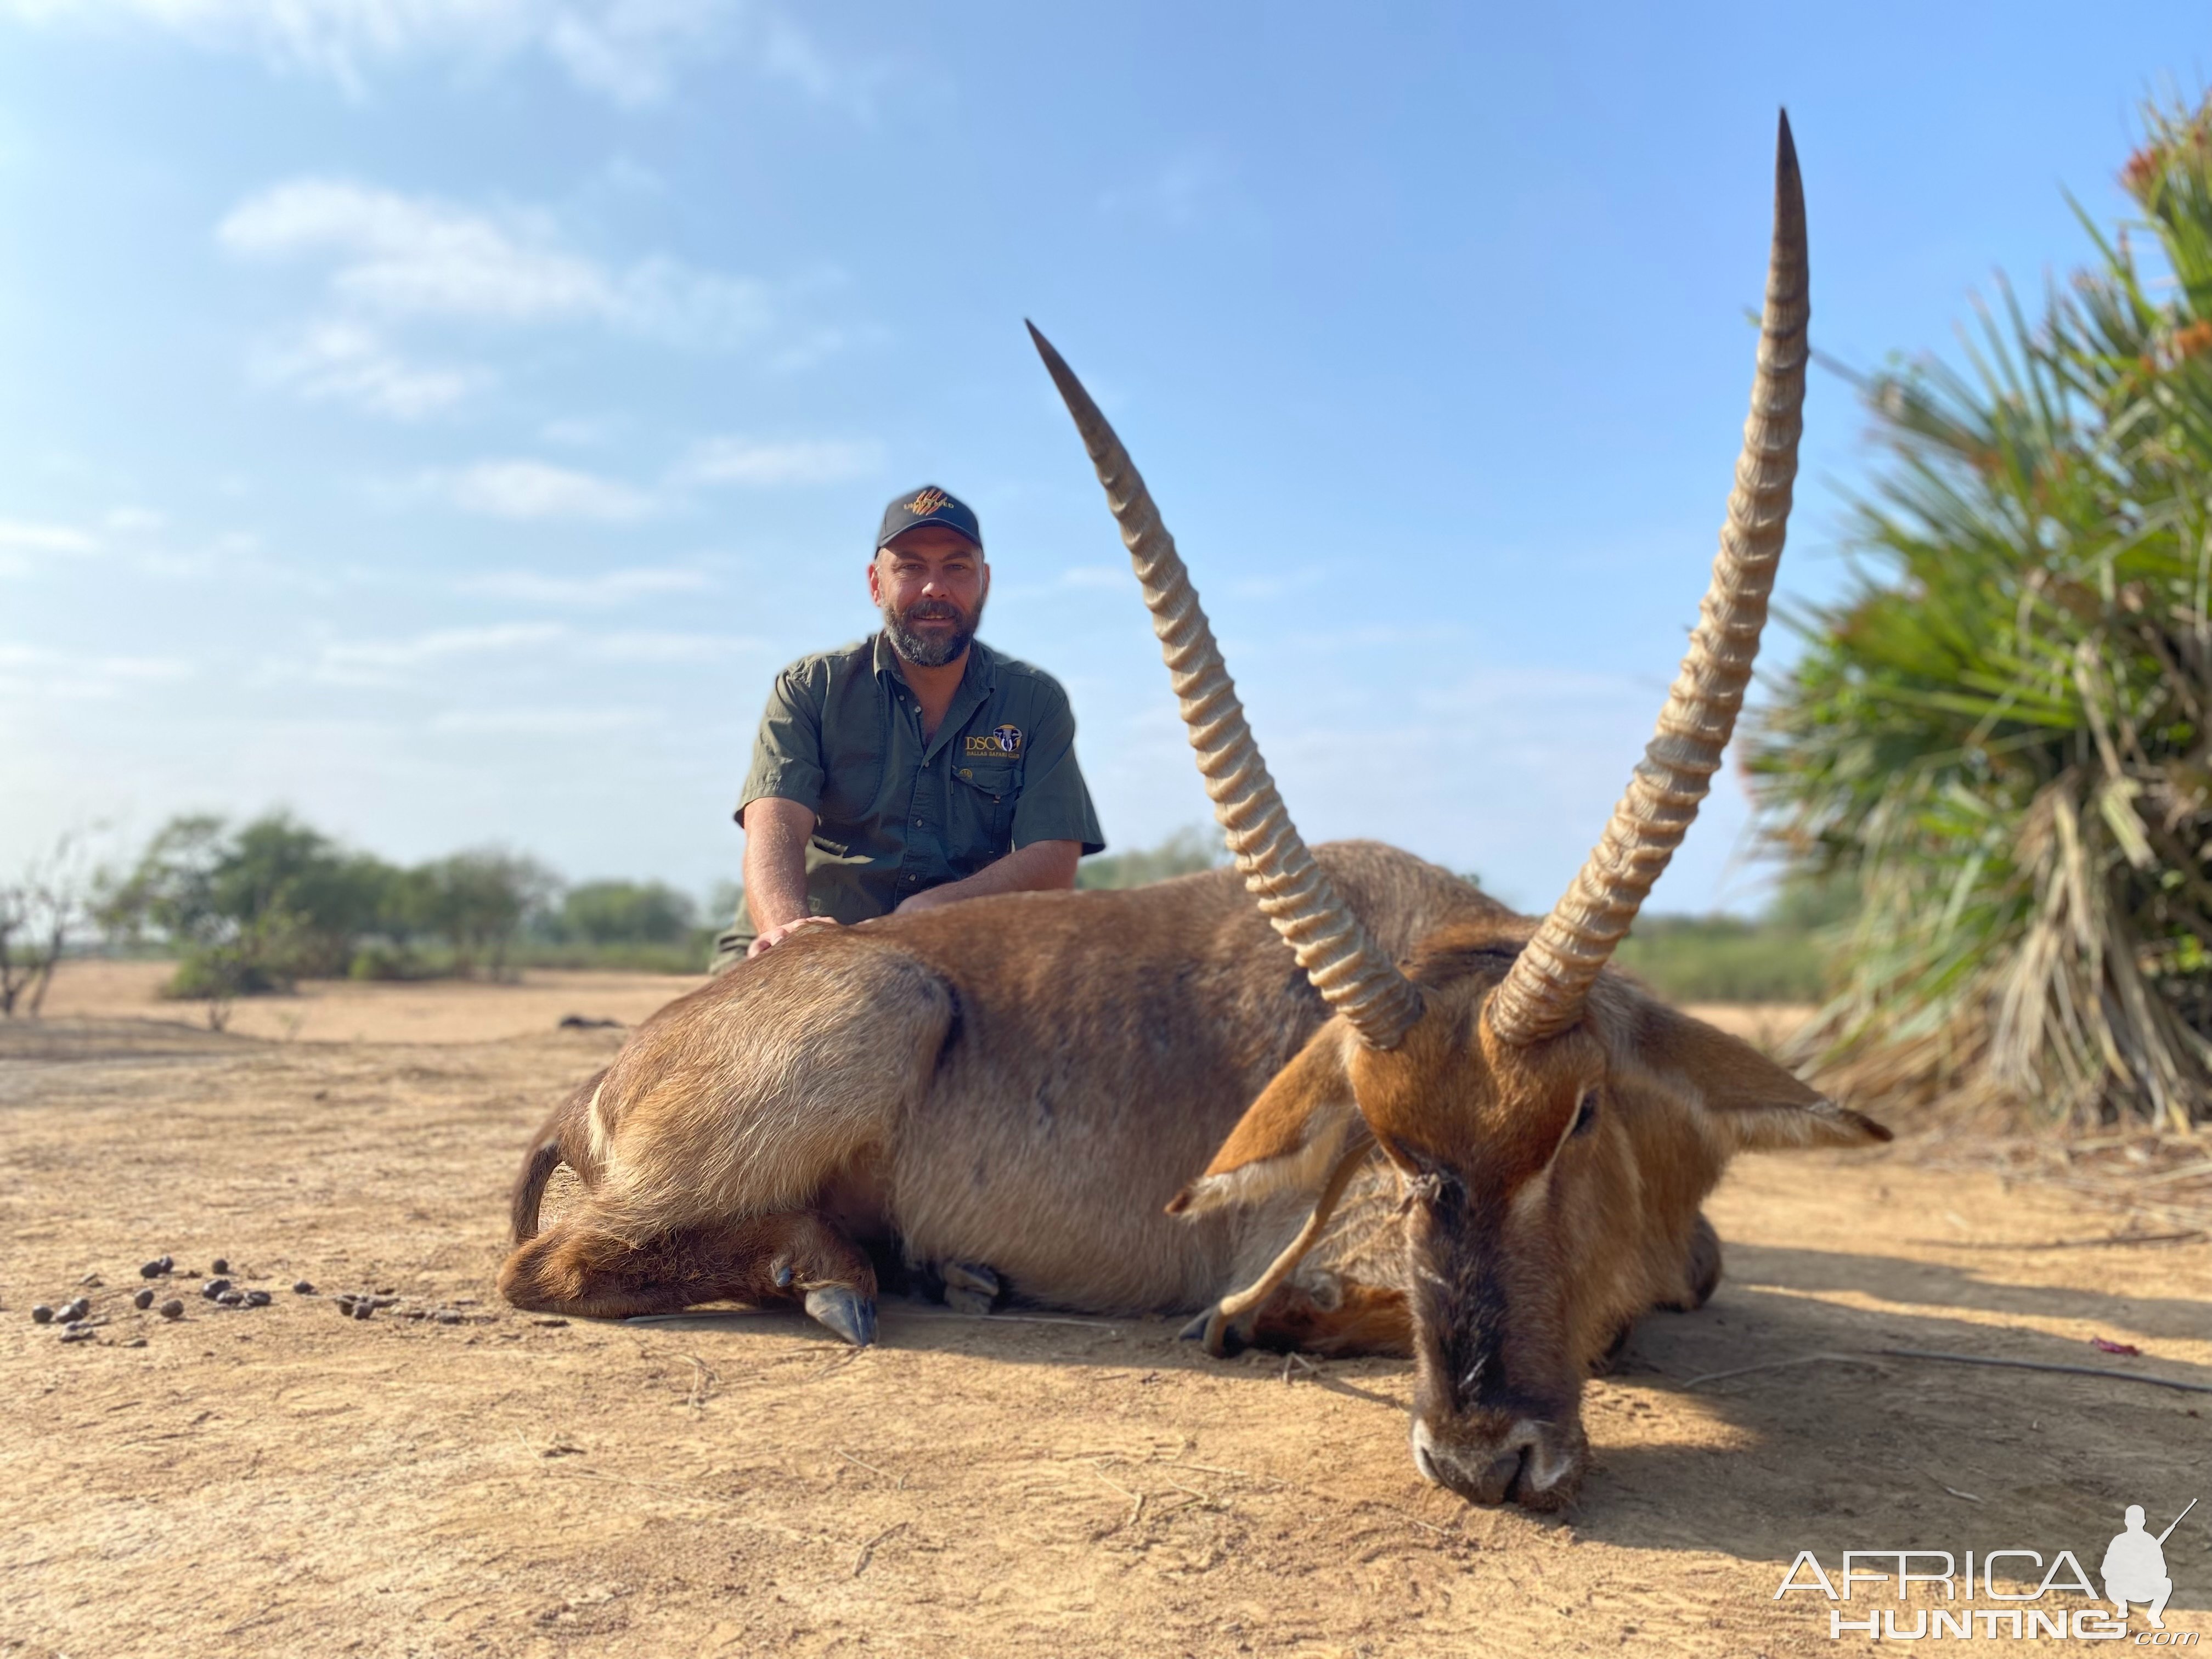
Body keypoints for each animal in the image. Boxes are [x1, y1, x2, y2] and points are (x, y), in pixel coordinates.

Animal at [502, 114, 1884, 1504]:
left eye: (1581, 1114)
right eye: (1383, 1141)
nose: (1482, 1454)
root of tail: (611, 1071)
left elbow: (1692, 1278)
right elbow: (1428, 1308)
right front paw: (1248, 1324)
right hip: (891, 1002)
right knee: (548, 1265)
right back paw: (838, 1277)